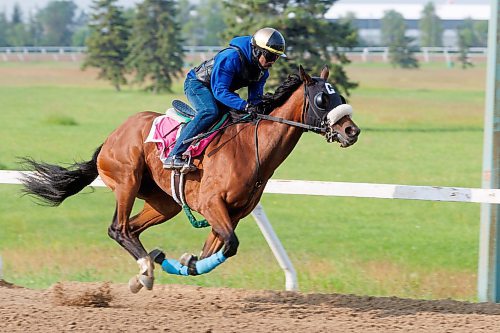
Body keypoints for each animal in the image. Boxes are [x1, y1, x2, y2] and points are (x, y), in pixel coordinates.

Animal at [21, 65, 362, 294]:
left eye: (340, 96)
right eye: (321, 99)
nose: (352, 131)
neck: (249, 149)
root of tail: (111, 137)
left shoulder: (233, 214)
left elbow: (214, 252)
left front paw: (184, 261)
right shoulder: (212, 205)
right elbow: (230, 245)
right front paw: (178, 261)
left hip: (165, 203)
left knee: (133, 230)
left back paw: (147, 265)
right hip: (127, 180)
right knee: (118, 228)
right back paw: (145, 269)